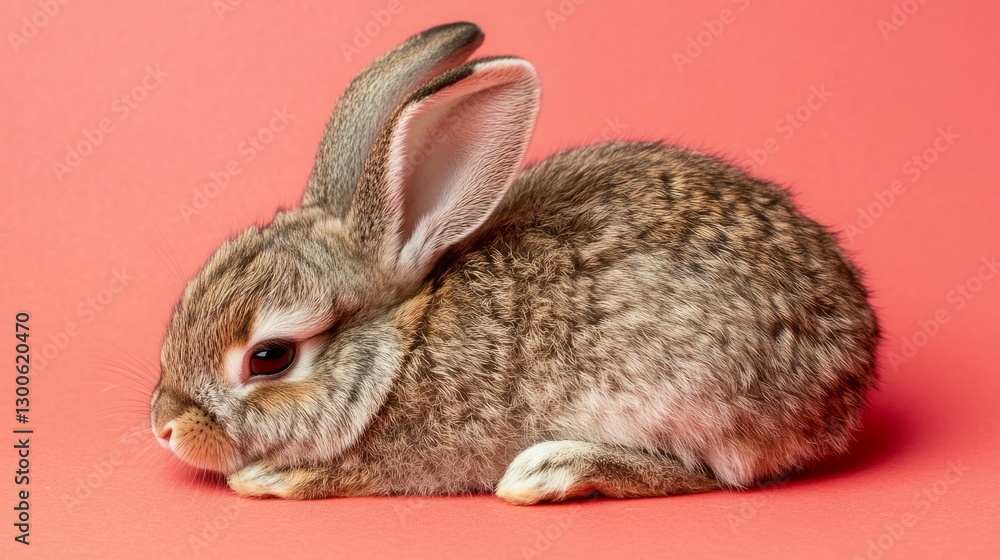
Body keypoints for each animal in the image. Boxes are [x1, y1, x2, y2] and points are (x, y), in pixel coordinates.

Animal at [150, 22, 879, 505]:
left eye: (269, 357)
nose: (165, 428)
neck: (398, 351)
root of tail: (852, 365)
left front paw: (269, 476)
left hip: (687, 393)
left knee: (709, 474)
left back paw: (550, 471)